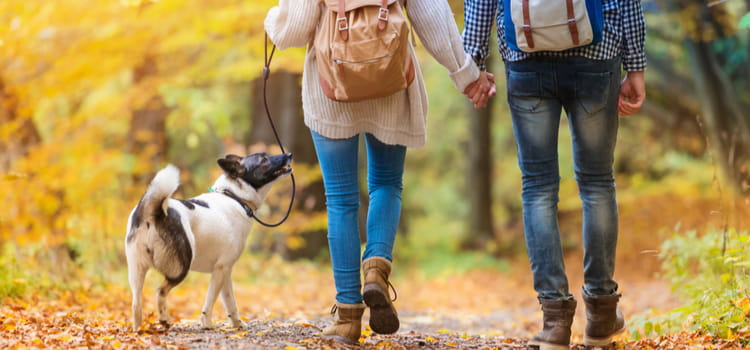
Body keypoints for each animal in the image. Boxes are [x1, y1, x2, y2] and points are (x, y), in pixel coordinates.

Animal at [125, 152, 292, 330]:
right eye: (263, 159)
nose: (289, 154)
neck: (235, 197)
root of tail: (154, 211)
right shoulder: (220, 269)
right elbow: (210, 301)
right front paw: (207, 324)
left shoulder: (225, 272)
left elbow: (230, 302)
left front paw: (237, 324)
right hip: (180, 268)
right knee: (160, 291)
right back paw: (164, 319)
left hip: (137, 270)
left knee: (136, 304)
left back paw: (139, 330)